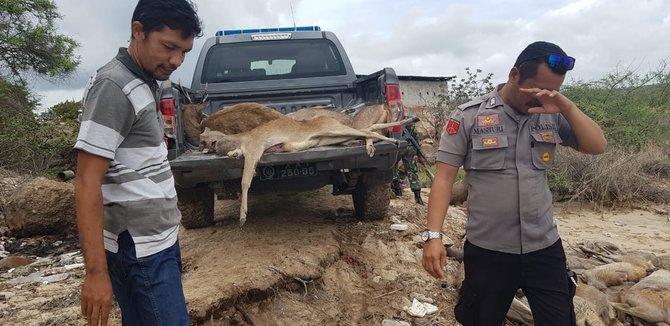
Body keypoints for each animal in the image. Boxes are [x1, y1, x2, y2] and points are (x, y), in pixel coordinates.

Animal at [201, 111, 420, 225]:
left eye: (211, 137)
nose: (210, 146)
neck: (240, 139)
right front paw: (233, 154)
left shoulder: (255, 147)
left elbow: (245, 180)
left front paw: (242, 216)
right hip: (334, 137)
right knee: (367, 130)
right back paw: (382, 140)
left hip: (333, 130)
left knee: (367, 130)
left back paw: (394, 137)